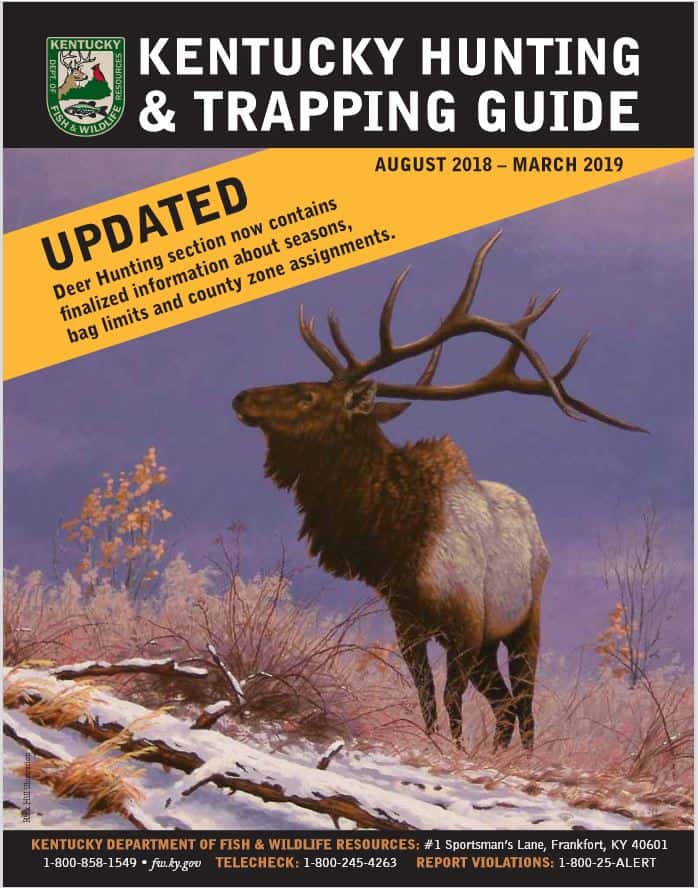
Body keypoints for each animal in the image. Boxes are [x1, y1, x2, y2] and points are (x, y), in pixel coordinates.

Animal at [232, 231, 645, 750]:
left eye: (307, 395)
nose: (241, 397)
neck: (398, 541)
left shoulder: (464, 624)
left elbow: (451, 700)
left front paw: (456, 751)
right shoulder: (407, 620)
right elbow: (426, 696)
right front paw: (437, 744)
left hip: (523, 623)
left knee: (523, 704)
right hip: (489, 642)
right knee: (504, 703)